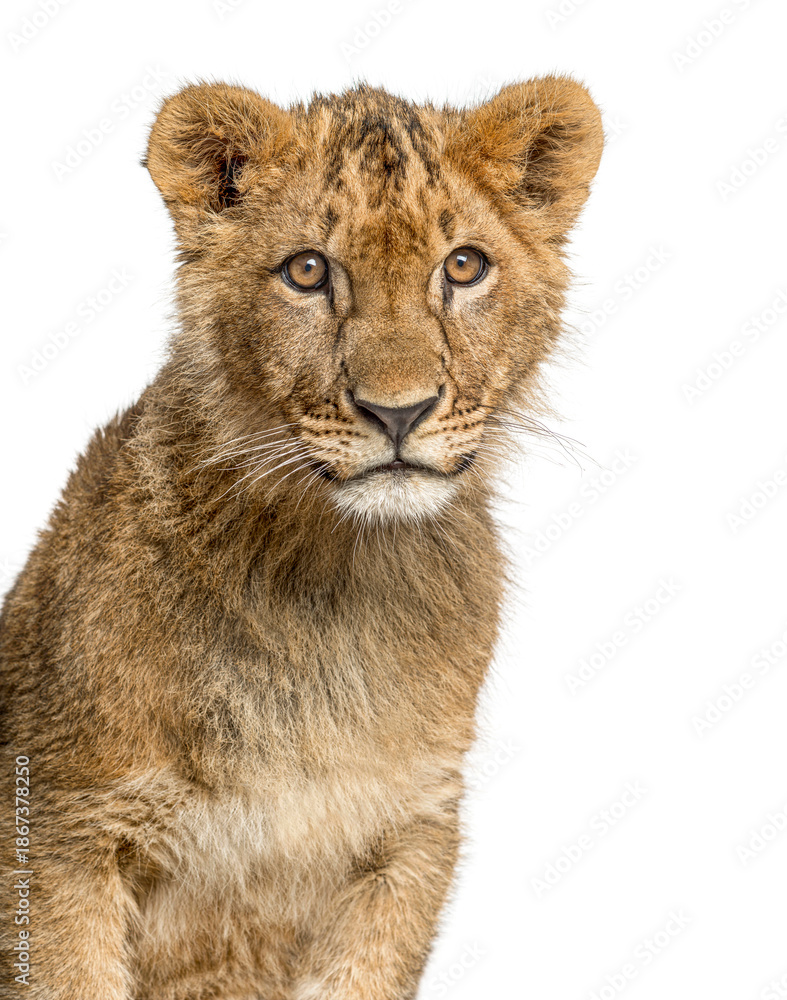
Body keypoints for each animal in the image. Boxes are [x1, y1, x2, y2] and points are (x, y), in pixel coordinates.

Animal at [0, 77, 602, 998]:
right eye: (307, 271)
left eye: (463, 266)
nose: (399, 412)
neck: (332, 579)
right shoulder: (62, 830)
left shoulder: (409, 834)